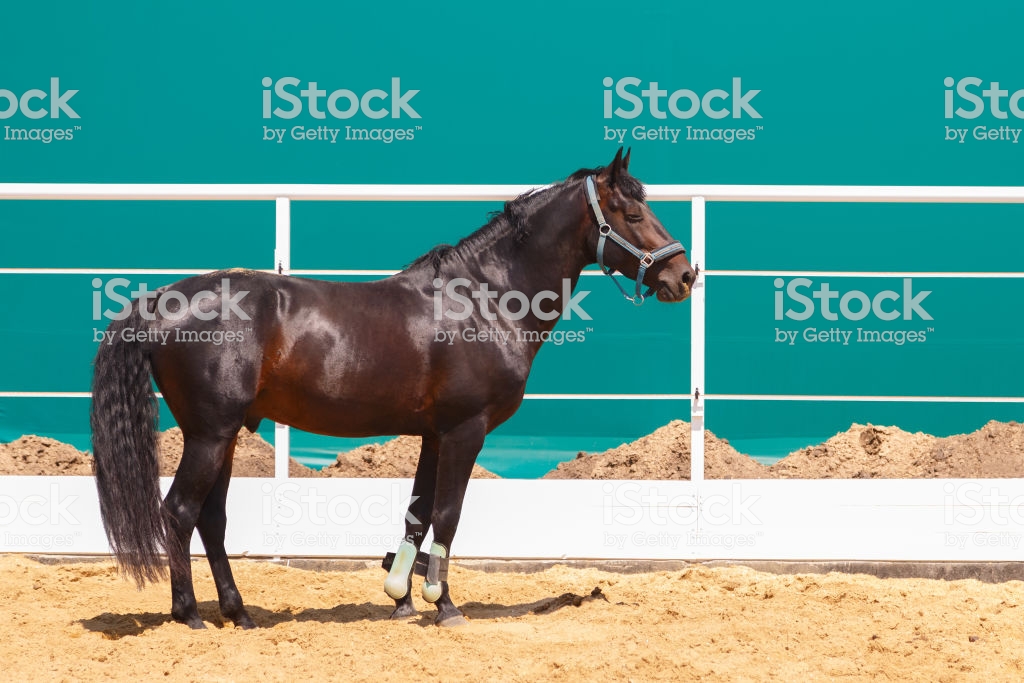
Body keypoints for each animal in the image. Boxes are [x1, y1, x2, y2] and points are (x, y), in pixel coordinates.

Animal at [90, 148, 696, 629]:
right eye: (632, 212)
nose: (684, 276)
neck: (487, 299)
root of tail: (160, 302)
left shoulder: (433, 433)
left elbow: (418, 514)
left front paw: (401, 597)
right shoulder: (464, 430)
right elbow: (448, 514)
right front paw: (443, 605)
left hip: (225, 434)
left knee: (210, 519)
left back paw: (238, 613)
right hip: (210, 434)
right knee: (179, 512)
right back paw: (189, 614)